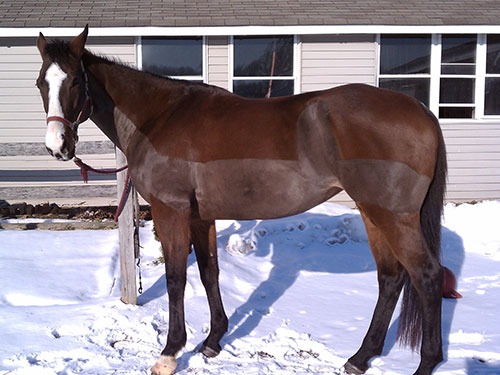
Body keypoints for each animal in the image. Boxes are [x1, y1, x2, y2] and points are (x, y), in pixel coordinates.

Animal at [37, 27, 448, 375]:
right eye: (42, 82)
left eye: (75, 80)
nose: (58, 146)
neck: (158, 117)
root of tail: (422, 111)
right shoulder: (200, 216)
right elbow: (209, 272)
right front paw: (213, 340)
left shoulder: (172, 211)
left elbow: (175, 278)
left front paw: (170, 353)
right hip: (372, 212)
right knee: (391, 277)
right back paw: (361, 358)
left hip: (394, 216)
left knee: (427, 277)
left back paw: (424, 363)